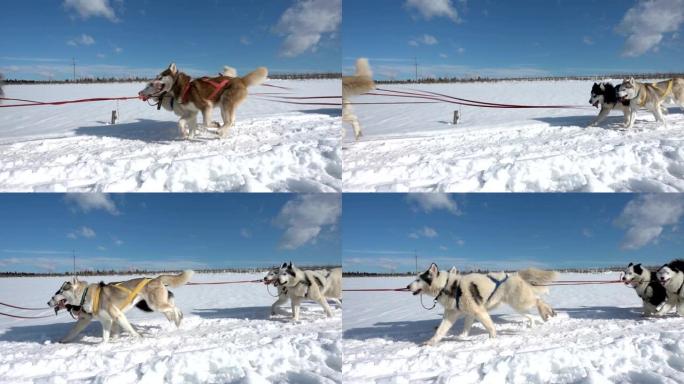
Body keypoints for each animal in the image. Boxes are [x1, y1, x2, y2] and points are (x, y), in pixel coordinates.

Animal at [48, 270, 194, 342]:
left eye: (60, 291)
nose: (48, 302)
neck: (86, 294)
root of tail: (155, 278)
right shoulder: (106, 321)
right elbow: (105, 337)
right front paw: (103, 346)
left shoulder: (117, 316)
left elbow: (130, 330)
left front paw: (138, 338)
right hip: (156, 305)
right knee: (172, 310)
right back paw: (176, 323)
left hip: (155, 305)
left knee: (175, 309)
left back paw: (179, 318)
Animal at [139, 63, 268, 140]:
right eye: (157, 77)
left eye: (160, 77)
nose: (139, 92)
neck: (184, 88)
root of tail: (240, 79)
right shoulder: (191, 113)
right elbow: (182, 123)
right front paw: (188, 135)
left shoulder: (205, 106)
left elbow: (205, 123)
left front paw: (214, 125)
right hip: (224, 106)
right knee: (230, 121)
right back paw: (223, 133)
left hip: (225, 102)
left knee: (228, 121)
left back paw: (220, 130)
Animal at [406, 264, 556, 344]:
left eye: (418, 279)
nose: (407, 286)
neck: (448, 285)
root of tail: (515, 275)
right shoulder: (458, 315)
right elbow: (442, 330)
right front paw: (431, 342)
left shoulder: (478, 311)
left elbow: (490, 326)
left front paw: (492, 338)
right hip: (518, 306)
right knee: (531, 314)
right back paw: (534, 322)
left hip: (521, 301)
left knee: (538, 300)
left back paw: (547, 312)